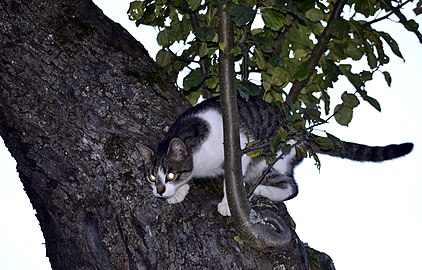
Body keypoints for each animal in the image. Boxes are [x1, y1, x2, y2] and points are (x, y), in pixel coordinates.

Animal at [137, 96, 414, 216]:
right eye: (151, 177)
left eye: (170, 174)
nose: (160, 191)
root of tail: (298, 131)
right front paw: (179, 193)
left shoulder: (240, 148)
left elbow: (230, 179)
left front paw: (227, 203)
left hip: (270, 160)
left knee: (292, 187)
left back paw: (259, 190)